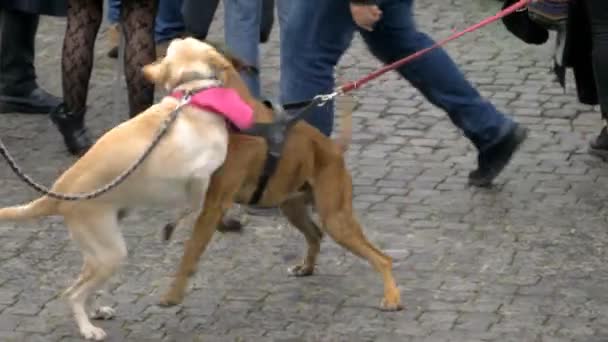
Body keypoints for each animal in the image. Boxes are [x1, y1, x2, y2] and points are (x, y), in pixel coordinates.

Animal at [0, 39, 235, 340]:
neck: (190, 91)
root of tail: (57, 193)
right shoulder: (198, 177)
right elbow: (192, 207)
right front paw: (174, 226)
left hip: (98, 252)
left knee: (78, 286)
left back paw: (96, 311)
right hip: (110, 252)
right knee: (73, 294)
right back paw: (88, 329)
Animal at [143, 38, 404, 312]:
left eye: (171, 52)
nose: (151, 58)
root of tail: (334, 149)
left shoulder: (215, 202)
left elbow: (190, 252)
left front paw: (173, 294)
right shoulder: (212, 198)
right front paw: (227, 226)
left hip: (336, 219)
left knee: (382, 258)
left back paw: (392, 297)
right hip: (294, 208)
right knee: (315, 234)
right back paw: (306, 267)